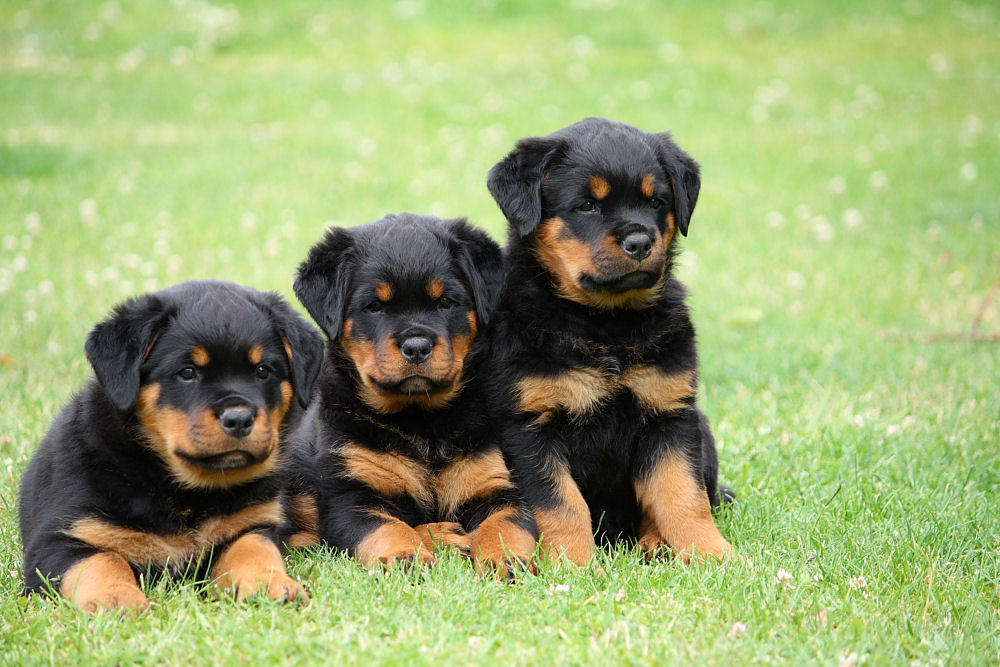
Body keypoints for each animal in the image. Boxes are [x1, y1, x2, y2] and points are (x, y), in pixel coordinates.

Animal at [18, 280, 324, 612]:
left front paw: (270, 584)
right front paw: (116, 597)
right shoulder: (61, 539)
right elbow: (103, 561)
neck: (185, 491)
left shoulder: (252, 523)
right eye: (187, 372)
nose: (239, 418)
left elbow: (254, 549)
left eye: (263, 370)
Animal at [286, 213, 540, 576]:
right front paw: (406, 555)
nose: (417, 346)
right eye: (374, 306)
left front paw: (506, 558)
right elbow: (386, 528)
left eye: (446, 301)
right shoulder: (349, 496)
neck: (422, 421)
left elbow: (507, 523)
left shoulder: (493, 482)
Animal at [488, 118, 740, 564]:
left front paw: (714, 554)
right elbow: (561, 504)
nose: (640, 242)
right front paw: (574, 564)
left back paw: (656, 543)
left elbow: (683, 496)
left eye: (656, 202)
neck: (607, 325)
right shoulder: (530, 427)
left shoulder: (670, 415)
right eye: (587, 205)